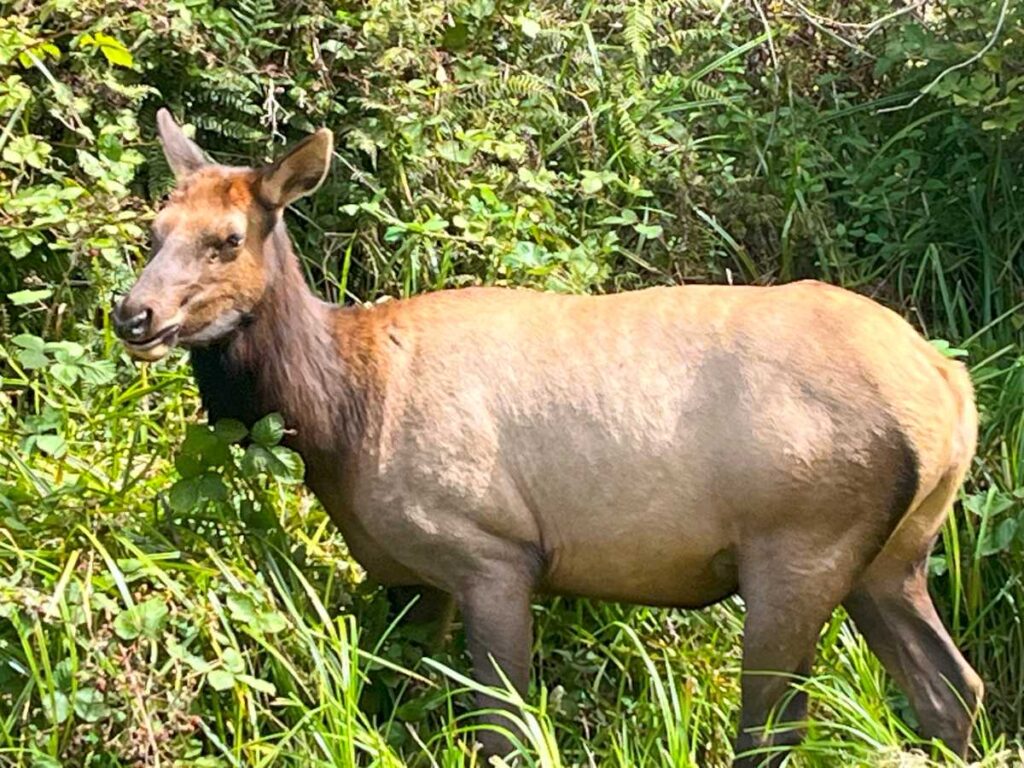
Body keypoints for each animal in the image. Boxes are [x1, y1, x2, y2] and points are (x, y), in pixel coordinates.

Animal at [112, 111, 983, 765]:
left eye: (228, 238)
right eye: (154, 227)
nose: (134, 314)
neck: (343, 421)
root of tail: (952, 389)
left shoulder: (490, 549)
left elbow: (503, 730)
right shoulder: (405, 574)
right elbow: (398, 707)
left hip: (800, 539)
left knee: (772, 727)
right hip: (894, 554)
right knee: (952, 691)